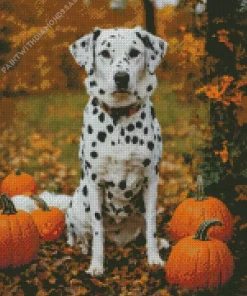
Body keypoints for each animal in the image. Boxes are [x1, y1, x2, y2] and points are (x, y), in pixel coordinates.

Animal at [66, 26, 169, 276]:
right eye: (104, 53)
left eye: (134, 52)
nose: (121, 77)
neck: (120, 121)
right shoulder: (95, 183)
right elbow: (97, 230)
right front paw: (96, 264)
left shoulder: (151, 180)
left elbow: (151, 226)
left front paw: (154, 258)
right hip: (77, 204)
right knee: (78, 232)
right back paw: (82, 246)